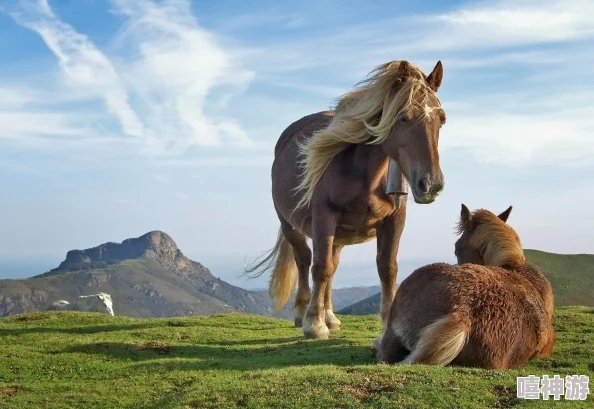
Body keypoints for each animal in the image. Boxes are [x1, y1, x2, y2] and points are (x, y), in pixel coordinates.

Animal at [244, 60, 444, 340]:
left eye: (441, 120)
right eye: (404, 117)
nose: (431, 184)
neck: (364, 174)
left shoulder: (394, 220)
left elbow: (387, 269)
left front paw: (386, 325)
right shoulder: (323, 217)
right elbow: (319, 268)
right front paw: (314, 324)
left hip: (339, 234)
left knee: (333, 264)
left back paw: (330, 315)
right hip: (290, 224)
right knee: (305, 259)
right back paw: (303, 312)